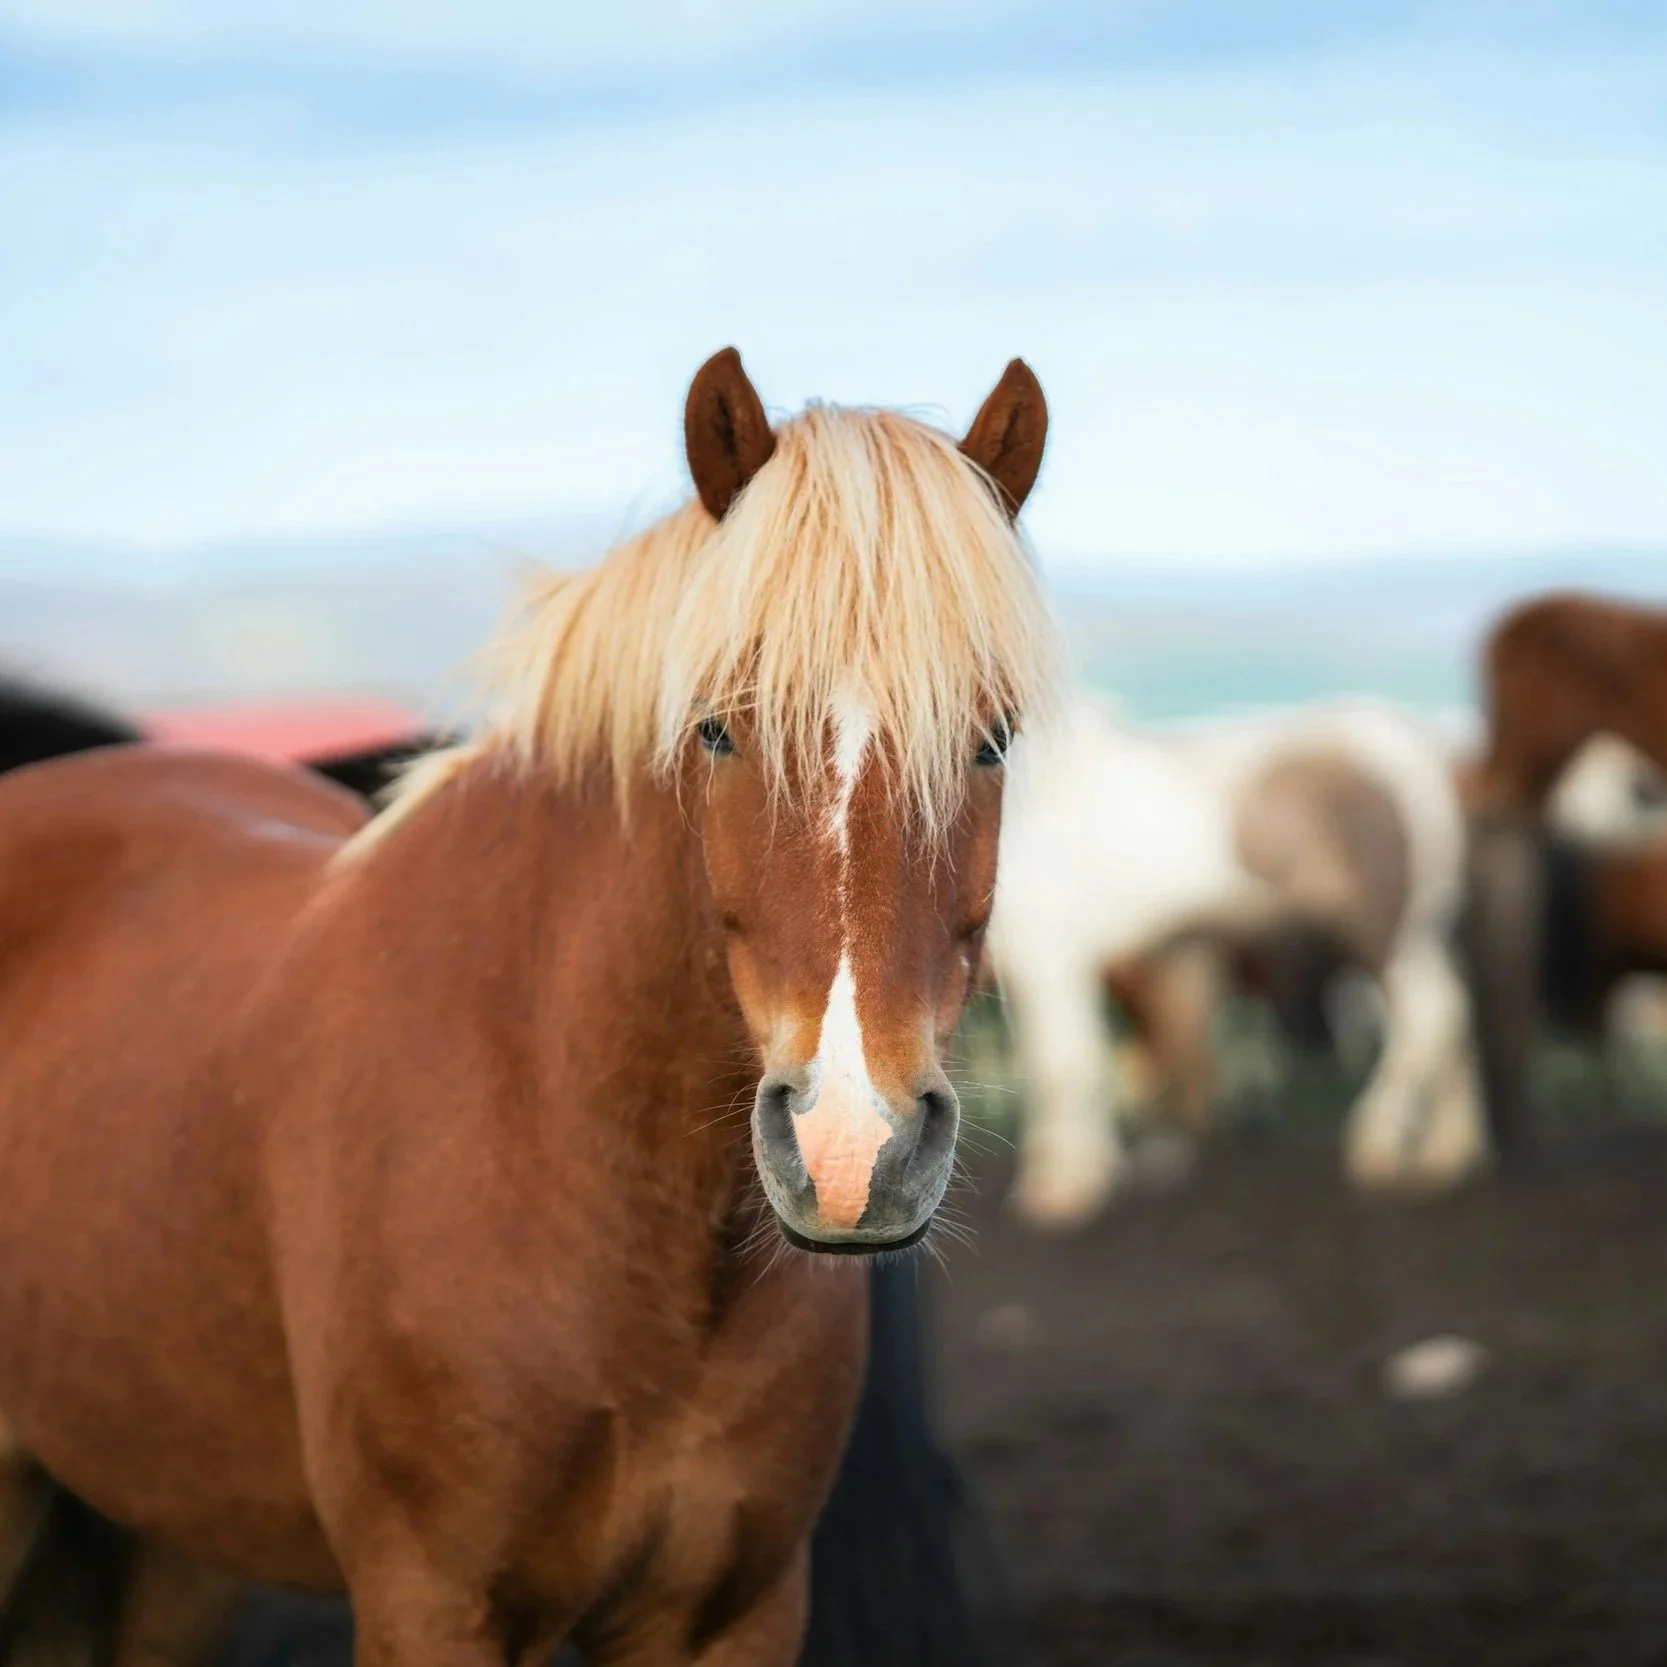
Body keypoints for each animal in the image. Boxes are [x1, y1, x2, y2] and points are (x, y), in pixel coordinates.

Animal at [987, 693, 1487, 1227]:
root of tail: (1421, 745)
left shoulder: (1049, 957)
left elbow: (1060, 1067)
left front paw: (1063, 1187)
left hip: (1386, 934)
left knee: (1431, 1017)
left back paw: (1380, 1140)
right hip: (1423, 935)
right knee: (1455, 1020)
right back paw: (1444, 1156)